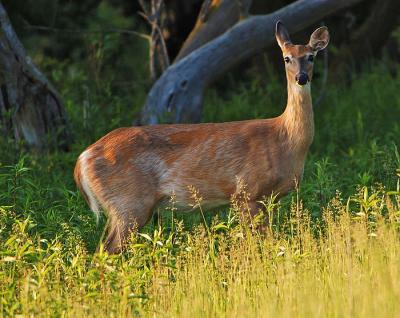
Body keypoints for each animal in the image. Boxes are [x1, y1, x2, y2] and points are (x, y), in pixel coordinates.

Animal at [73, 21, 330, 252]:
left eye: (311, 57)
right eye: (286, 58)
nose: (302, 77)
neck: (285, 139)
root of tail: (82, 159)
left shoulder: (267, 198)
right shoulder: (246, 192)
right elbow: (262, 244)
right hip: (129, 203)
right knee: (105, 251)